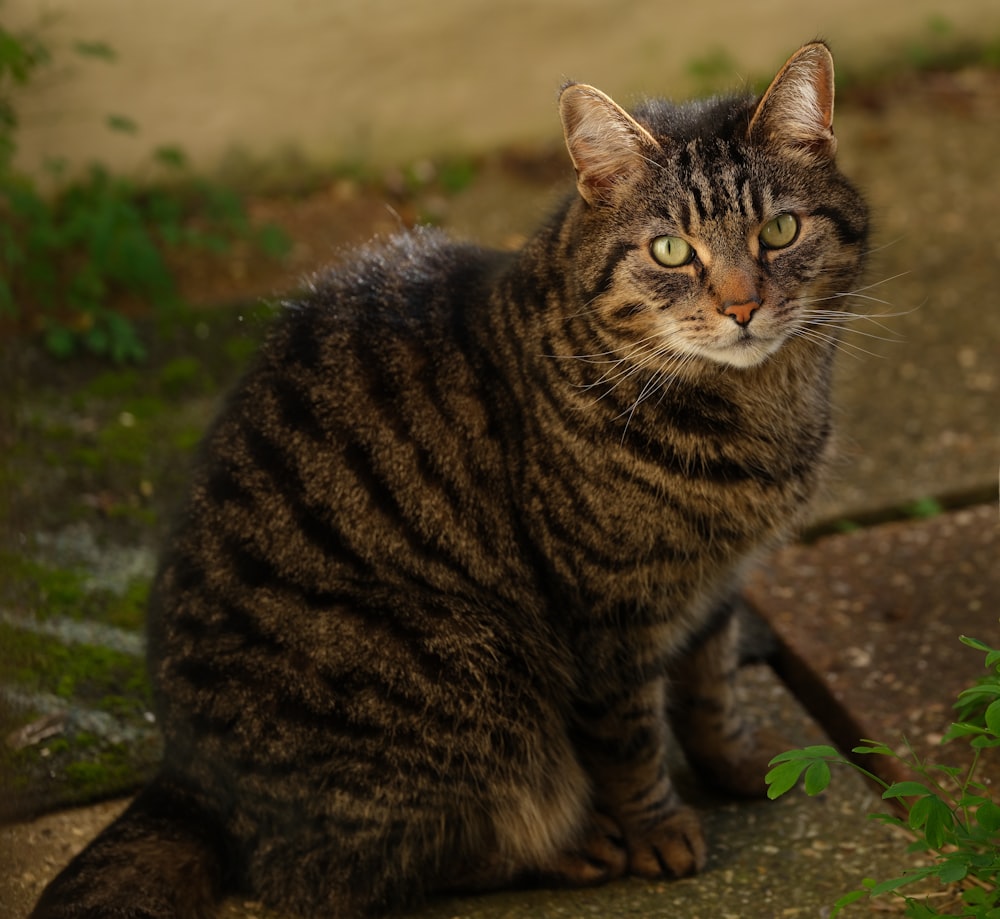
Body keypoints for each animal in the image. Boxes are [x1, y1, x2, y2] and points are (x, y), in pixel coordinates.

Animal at [33, 41, 868, 919]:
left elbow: (712, 692)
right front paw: (657, 826)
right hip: (476, 669)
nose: (743, 307)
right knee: (342, 868)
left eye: (779, 231)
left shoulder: (718, 588)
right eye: (671, 250)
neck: (754, 413)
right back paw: (576, 844)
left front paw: (744, 766)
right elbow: (630, 739)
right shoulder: (608, 618)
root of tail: (188, 779)